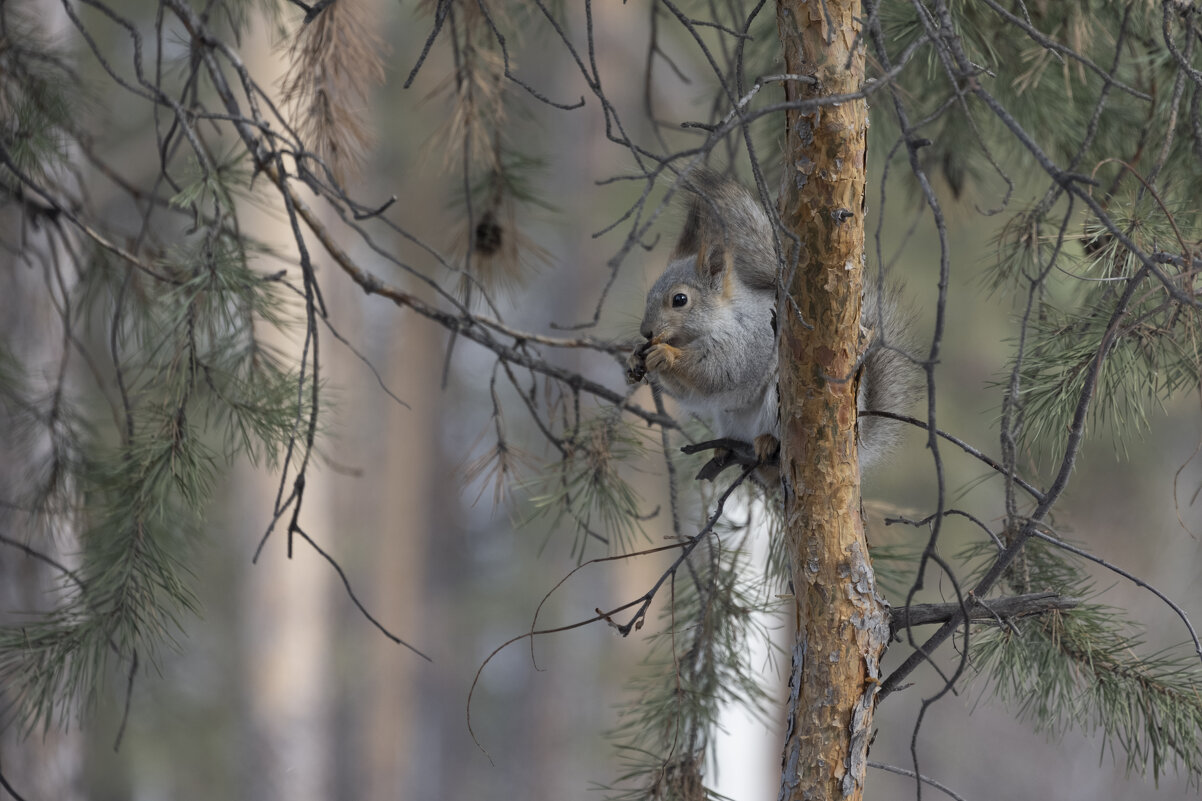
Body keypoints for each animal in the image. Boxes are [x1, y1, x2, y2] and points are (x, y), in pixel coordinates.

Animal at [625, 169, 913, 476]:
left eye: (679, 299)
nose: (646, 332)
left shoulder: (749, 338)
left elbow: (718, 371)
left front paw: (665, 355)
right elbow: (689, 393)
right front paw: (635, 359)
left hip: (777, 403)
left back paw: (766, 442)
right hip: (727, 419)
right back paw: (724, 448)